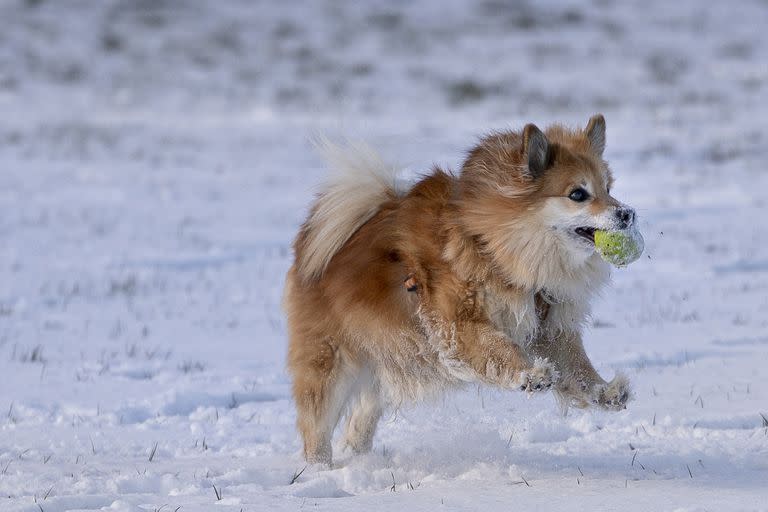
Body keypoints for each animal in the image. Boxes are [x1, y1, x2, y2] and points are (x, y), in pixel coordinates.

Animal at [284, 115, 632, 464]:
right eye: (578, 194)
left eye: (608, 189)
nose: (627, 213)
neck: (494, 246)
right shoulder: (459, 323)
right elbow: (498, 347)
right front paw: (529, 374)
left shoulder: (548, 326)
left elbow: (576, 365)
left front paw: (604, 391)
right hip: (331, 363)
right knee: (316, 427)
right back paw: (321, 469)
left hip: (385, 358)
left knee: (358, 424)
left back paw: (359, 461)